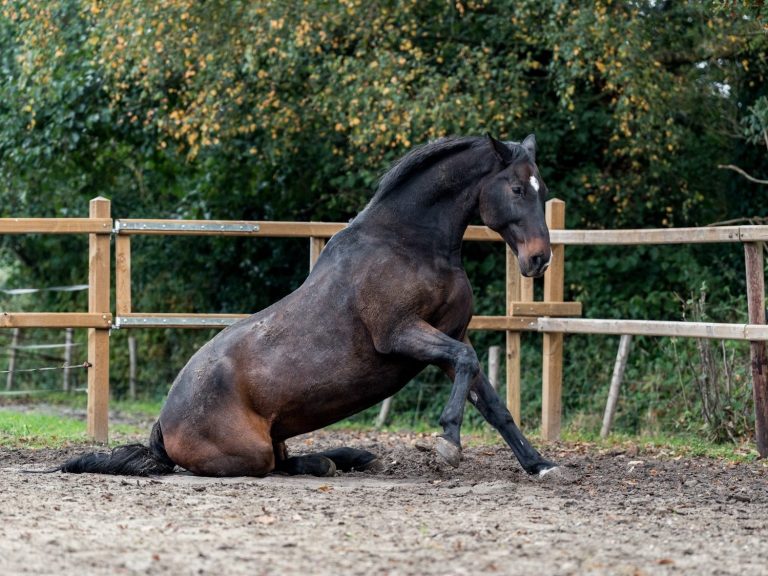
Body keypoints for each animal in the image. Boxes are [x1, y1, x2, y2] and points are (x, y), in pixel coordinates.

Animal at [57, 134, 558, 478]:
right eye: (517, 189)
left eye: (542, 187)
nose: (539, 259)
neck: (410, 246)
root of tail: (163, 423)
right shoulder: (402, 334)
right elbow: (468, 363)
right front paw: (448, 442)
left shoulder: (449, 334)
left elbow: (492, 402)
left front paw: (539, 464)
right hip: (250, 451)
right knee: (269, 466)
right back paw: (336, 461)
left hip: (272, 435)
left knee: (286, 459)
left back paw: (348, 457)